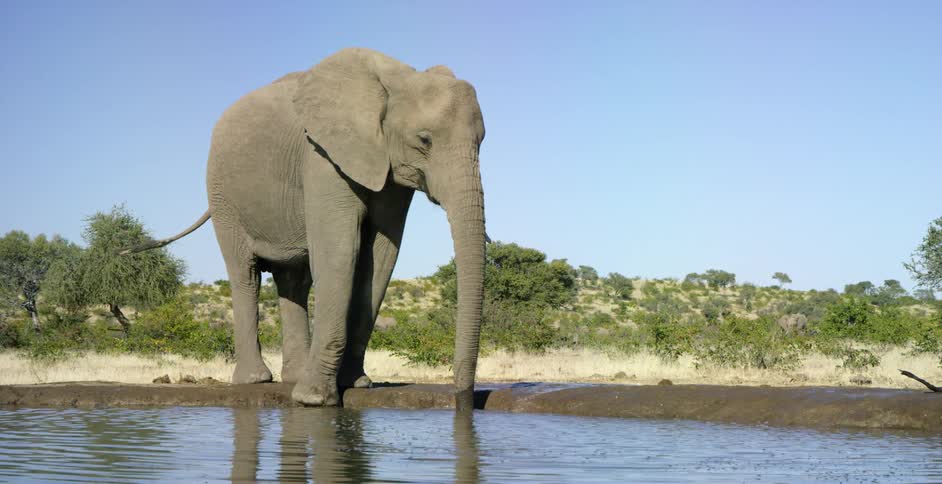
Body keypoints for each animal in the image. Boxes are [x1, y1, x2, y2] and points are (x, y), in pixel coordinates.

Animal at [129, 48, 486, 408]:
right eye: (425, 140)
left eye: (482, 141)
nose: (463, 400)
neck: (396, 79)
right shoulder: (322, 155)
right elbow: (340, 252)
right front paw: (314, 400)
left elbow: (382, 256)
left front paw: (354, 385)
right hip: (223, 195)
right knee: (245, 274)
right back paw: (255, 380)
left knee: (294, 281)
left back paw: (293, 376)